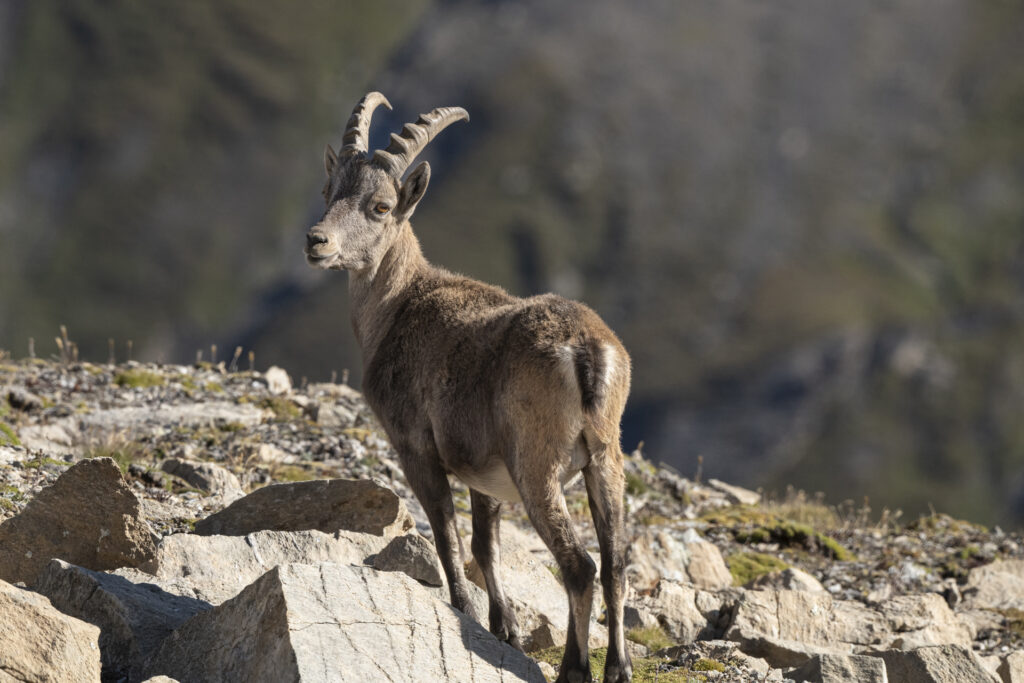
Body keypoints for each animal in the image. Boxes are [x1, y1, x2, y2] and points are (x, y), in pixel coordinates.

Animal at [305, 92, 633, 683]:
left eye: (380, 206)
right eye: (329, 191)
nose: (316, 242)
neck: (399, 304)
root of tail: (588, 352)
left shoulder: (417, 449)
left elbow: (447, 537)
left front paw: (466, 613)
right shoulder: (486, 474)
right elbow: (485, 544)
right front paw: (506, 628)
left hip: (537, 465)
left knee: (579, 566)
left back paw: (573, 668)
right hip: (606, 459)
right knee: (615, 561)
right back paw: (617, 669)